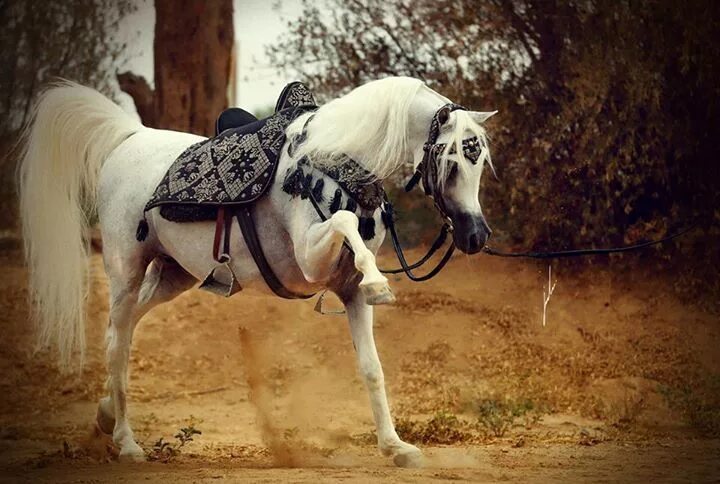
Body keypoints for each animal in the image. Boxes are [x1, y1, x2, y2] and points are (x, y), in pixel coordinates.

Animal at [21, 77, 496, 466]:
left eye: (479, 161)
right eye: (452, 161)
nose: (476, 235)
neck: (332, 160)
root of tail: (130, 136)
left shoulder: (349, 291)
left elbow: (371, 368)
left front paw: (395, 447)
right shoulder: (310, 261)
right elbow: (343, 223)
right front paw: (381, 283)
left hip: (174, 275)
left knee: (126, 329)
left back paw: (105, 416)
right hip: (125, 271)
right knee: (117, 342)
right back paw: (127, 442)